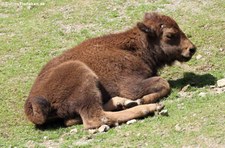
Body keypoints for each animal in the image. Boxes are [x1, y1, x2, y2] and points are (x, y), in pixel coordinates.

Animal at [24, 12, 196, 129]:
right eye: (170, 35)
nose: (191, 49)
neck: (135, 48)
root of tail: (32, 101)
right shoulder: (130, 86)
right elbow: (164, 83)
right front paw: (144, 100)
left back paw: (123, 102)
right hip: (82, 73)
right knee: (96, 117)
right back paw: (149, 107)